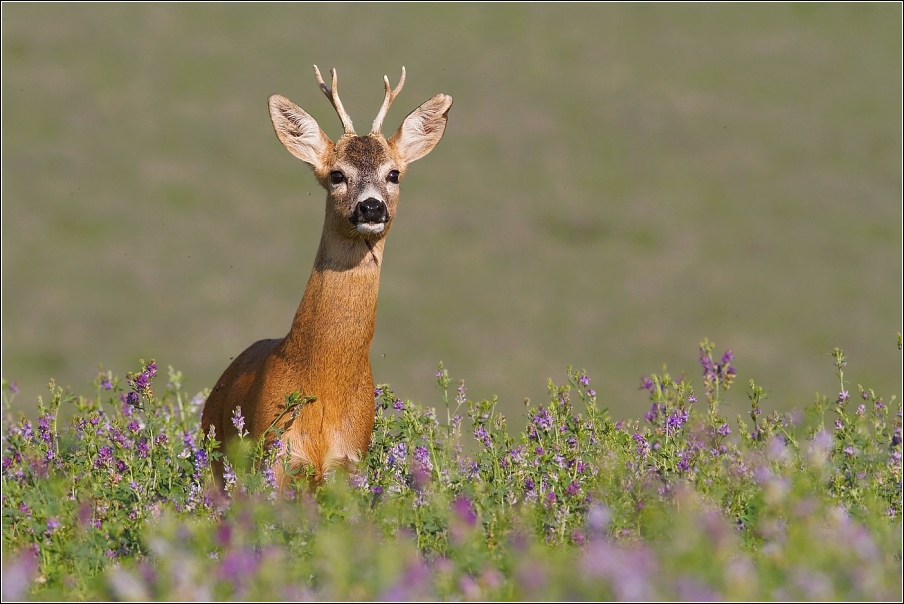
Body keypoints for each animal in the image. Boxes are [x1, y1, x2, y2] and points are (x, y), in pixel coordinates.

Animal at [200, 66, 450, 486]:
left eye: (394, 174)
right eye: (336, 175)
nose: (371, 207)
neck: (323, 383)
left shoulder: (348, 461)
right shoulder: (278, 457)